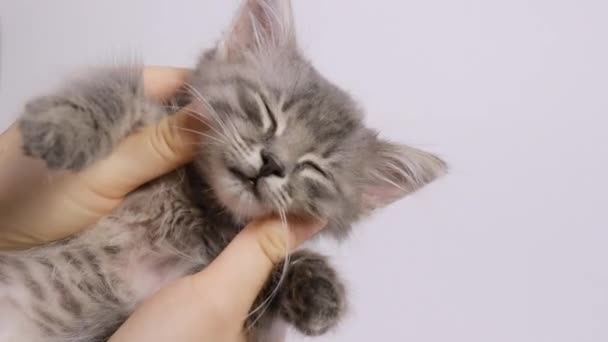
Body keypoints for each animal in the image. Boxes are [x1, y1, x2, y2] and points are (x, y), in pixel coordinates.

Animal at [0, 1, 446, 340]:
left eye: (314, 168)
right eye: (267, 113)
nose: (272, 163)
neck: (198, 204)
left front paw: (320, 290)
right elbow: (113, 90)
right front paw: (61, 126)